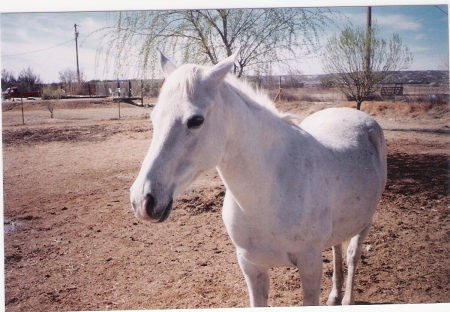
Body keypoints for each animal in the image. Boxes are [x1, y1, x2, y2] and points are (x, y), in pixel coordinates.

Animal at [129, 50, 386, 306]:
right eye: (154, 117)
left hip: (366, 221)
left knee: (352, 255)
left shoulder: (310, 266)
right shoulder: (251, 266)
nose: (142, 201)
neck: (271, 190)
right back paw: (334, 296)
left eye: (196, 120)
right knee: (336, 249)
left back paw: (347, 299)